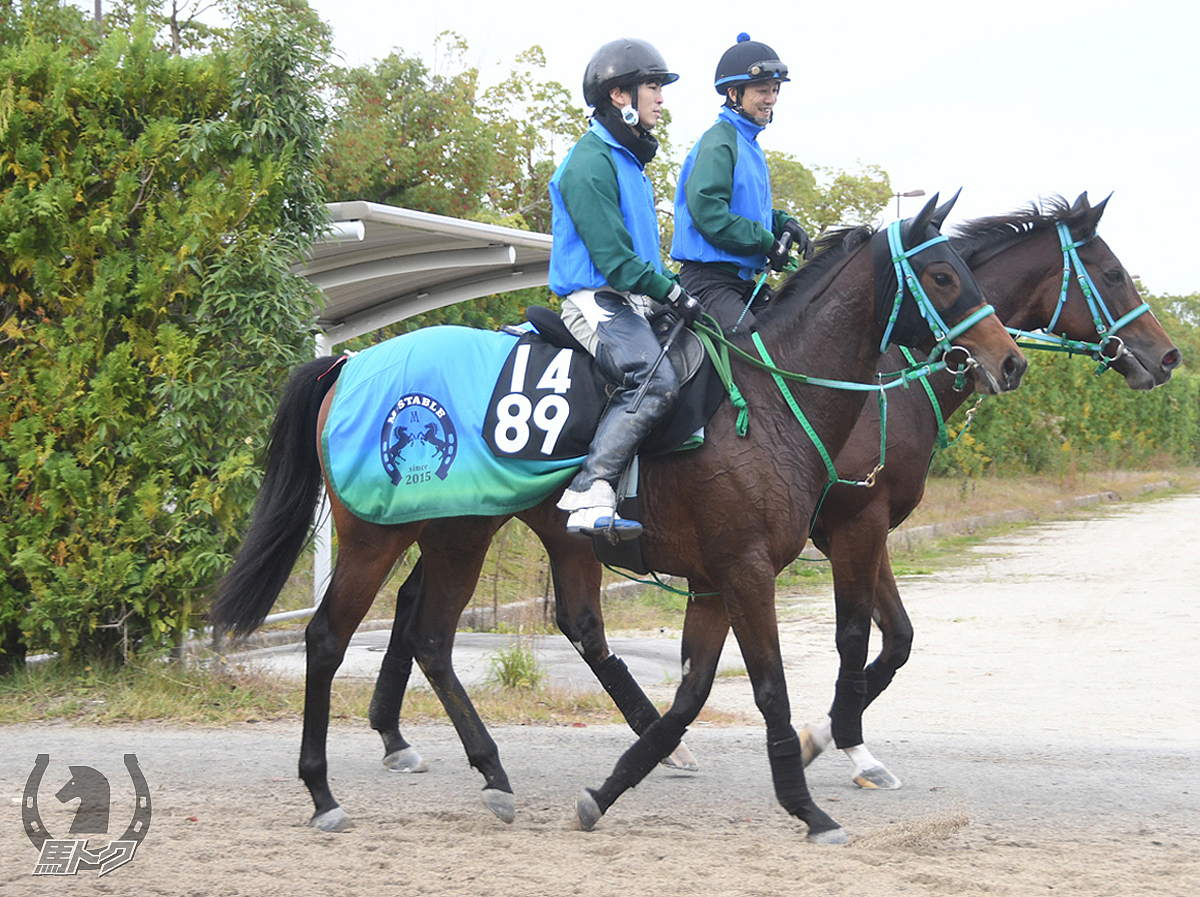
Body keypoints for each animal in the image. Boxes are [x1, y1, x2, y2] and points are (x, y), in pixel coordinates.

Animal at [204, 194, 1022, 839]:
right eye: (943, 274)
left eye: (970, 267)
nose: (1008, 360)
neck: (769, 398)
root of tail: (349, 363)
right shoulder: (755, 566)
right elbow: (770, 688)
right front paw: (809, 805)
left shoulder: (715, 581)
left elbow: (692, 694)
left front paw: (607, 790)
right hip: (378, 533)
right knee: (328, 638)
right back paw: (323, 791)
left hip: (462, 533)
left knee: (435, 636)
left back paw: (490, 772)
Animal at [796, 190, 1180, 786]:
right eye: (1114, 274)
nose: (1167, 356)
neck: (886, 387)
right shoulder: (854, 525)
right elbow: (854, 639)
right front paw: (848, 743)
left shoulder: (865, 531)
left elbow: (898, 640)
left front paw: (829, 731)